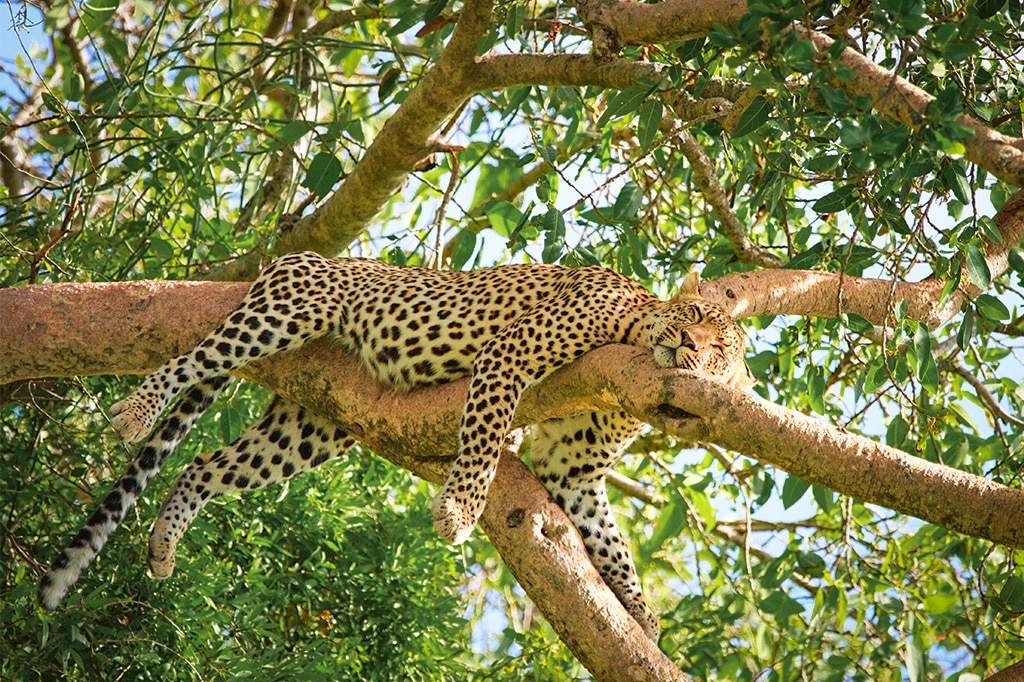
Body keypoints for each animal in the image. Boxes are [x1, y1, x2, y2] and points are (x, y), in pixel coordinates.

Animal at [38, 251, 754, 641]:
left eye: (719, 355)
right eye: (695, 318)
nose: (689, 347)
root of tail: (297, 259)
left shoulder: (571, 471)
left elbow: (611, 542)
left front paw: (643, 617)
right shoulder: (510, 355)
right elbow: (485, 439)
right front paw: (459, 512)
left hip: (309, 425)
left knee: (205, 464)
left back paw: (163, 543)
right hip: (285, 312)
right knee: (189, 360)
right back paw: (133, 411)